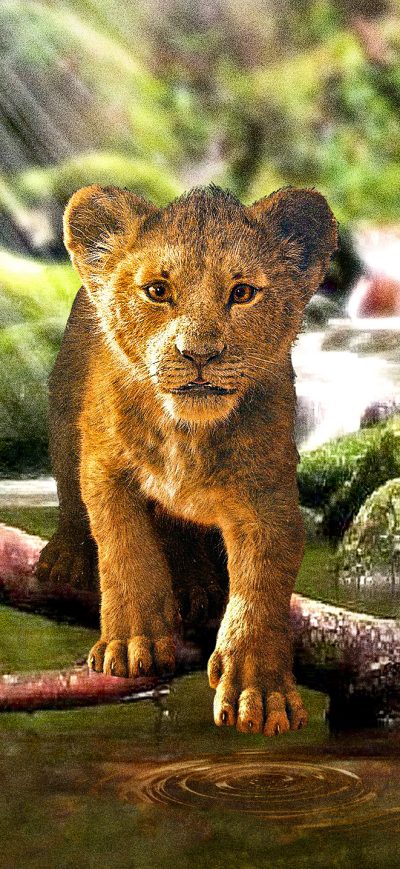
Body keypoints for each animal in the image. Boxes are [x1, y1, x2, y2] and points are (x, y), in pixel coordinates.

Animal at [36, 183, 337, 736]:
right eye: (157, 290)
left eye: (242, 293)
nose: (199, 354)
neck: (187, 434)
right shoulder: (105, 466)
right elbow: (125, 547)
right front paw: (132, 642)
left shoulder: (269, 495)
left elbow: (262, 585)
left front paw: (258, 689)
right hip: (64, 407)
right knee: (69, 492)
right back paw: (67, 556)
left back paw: (201, 584)